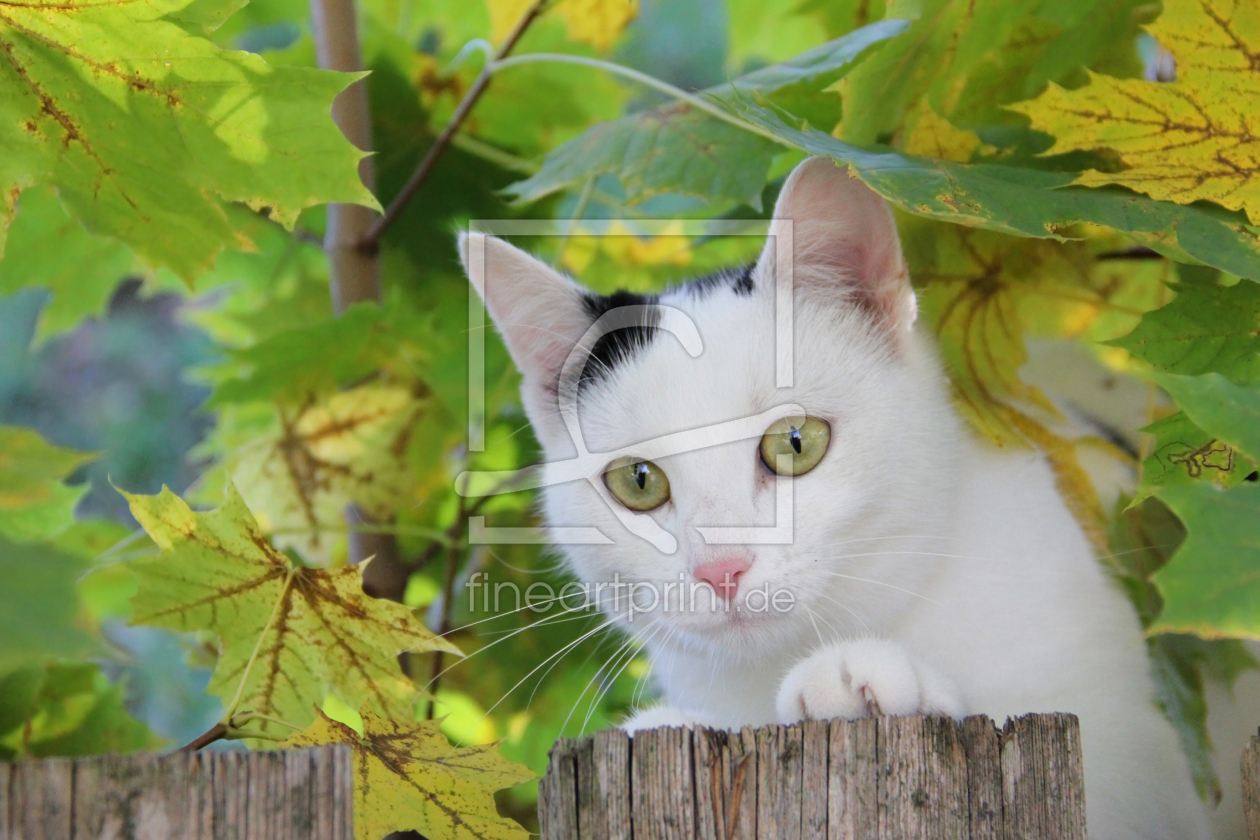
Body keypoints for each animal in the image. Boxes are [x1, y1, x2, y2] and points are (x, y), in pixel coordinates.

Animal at [458, 159, 1254, 840]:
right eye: (639, 482)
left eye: (795, 443)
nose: (722, 569)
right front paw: (662, 721)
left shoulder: (1148, 760)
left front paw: (875, 679)